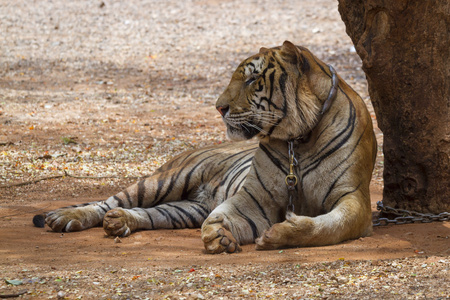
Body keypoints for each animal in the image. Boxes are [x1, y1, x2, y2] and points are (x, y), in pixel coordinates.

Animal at [32, 41, 376, 253]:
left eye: (251, 80)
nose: (219, 107)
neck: (299, 139)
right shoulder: (256, 199)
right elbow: (227, 215)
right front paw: (219, 234)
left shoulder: (353, 198)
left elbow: (329, 226)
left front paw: (279, 234)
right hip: (164, 180)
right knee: (107, 202)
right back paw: (66, 218)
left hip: (183, 209)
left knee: (147, 213)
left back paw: (120, 222)